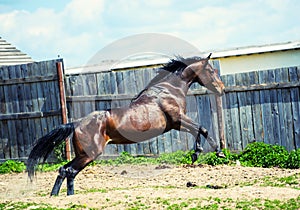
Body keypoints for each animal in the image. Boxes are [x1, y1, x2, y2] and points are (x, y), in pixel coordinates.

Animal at [27, 53, 225, 195]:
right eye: (212, 71)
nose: (222, 89)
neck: (169, 90)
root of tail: (76, 124)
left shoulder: (175, 124)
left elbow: (198, 130)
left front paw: (201, 153)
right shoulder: (178, 119)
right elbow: (202, 128)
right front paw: (213, 152)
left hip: (83, 154)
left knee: (66, 170)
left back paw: (62, 197)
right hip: (90, 154)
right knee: (68, 171)